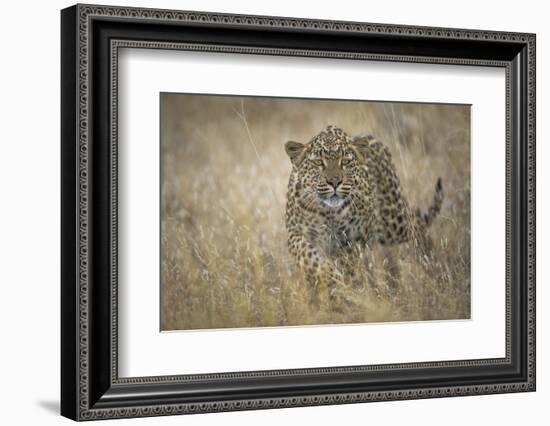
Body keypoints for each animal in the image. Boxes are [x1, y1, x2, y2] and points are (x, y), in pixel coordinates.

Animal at [284, 125, 444, 304]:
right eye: (318, 162)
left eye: (345, 161)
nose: (334, 181)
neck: (329, 212)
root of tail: (371, 138)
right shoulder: (295, 234)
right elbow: (310, 259)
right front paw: (332, 280)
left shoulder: (353, 238)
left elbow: (349, 264)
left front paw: (347, 287)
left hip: (393, 222)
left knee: (416, 222)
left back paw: (429, 259)